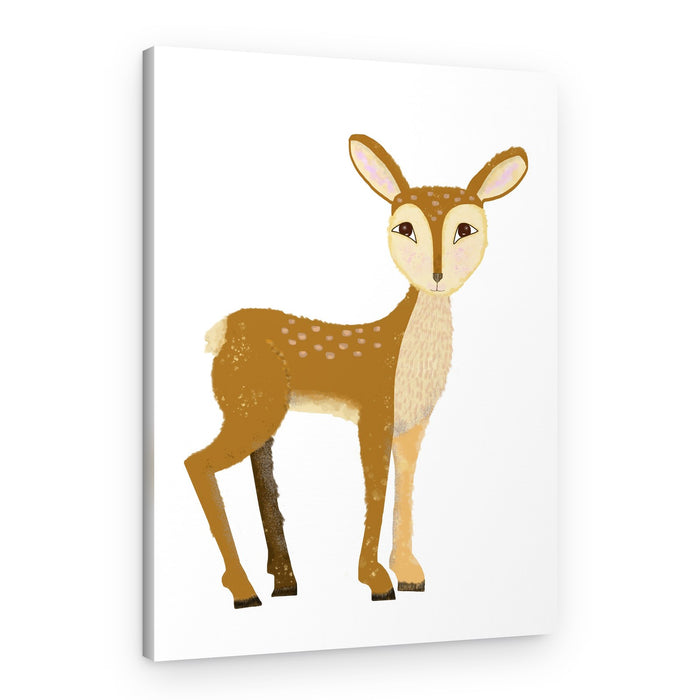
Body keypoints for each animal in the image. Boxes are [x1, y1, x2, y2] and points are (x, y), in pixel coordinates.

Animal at [185, 135, 528, 609]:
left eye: (466, 229)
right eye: (404, 228)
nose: (438, 275)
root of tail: (220, 331)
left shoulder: (412, 427)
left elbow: (404, 488)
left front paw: (410, 574)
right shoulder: (374, 414)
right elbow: (376, 491)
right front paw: (377, 580)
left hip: (258, 410)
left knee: (260, 473)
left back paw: (282, 581)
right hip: (252, 409)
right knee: (196, 462)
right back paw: (243, 589)